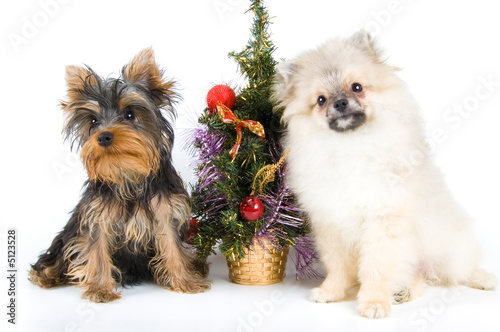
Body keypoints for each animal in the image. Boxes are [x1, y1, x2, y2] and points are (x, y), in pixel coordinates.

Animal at [27, 48, 211, 300]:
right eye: (94, 121)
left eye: (130, 114)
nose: (103, 136)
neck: (128, 173)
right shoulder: (97, 215)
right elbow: (96, 248)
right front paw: (99, 288)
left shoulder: (165, 211)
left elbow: (172, 245)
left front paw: (184, 280)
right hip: (69, 233)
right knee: (60, 251)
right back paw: (47, 275)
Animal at [274, 31, 496, 320]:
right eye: (321, 100)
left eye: (357, 87)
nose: (340, 102)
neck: (351, 145)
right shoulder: (331, 223)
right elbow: (338, 266)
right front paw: (331, 291)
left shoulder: (383, 220)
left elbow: (377, 267)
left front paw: (374, 302)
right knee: (420, 278)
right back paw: (403, 291)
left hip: (450, 246)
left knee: (454, 271)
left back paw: (479, 278)